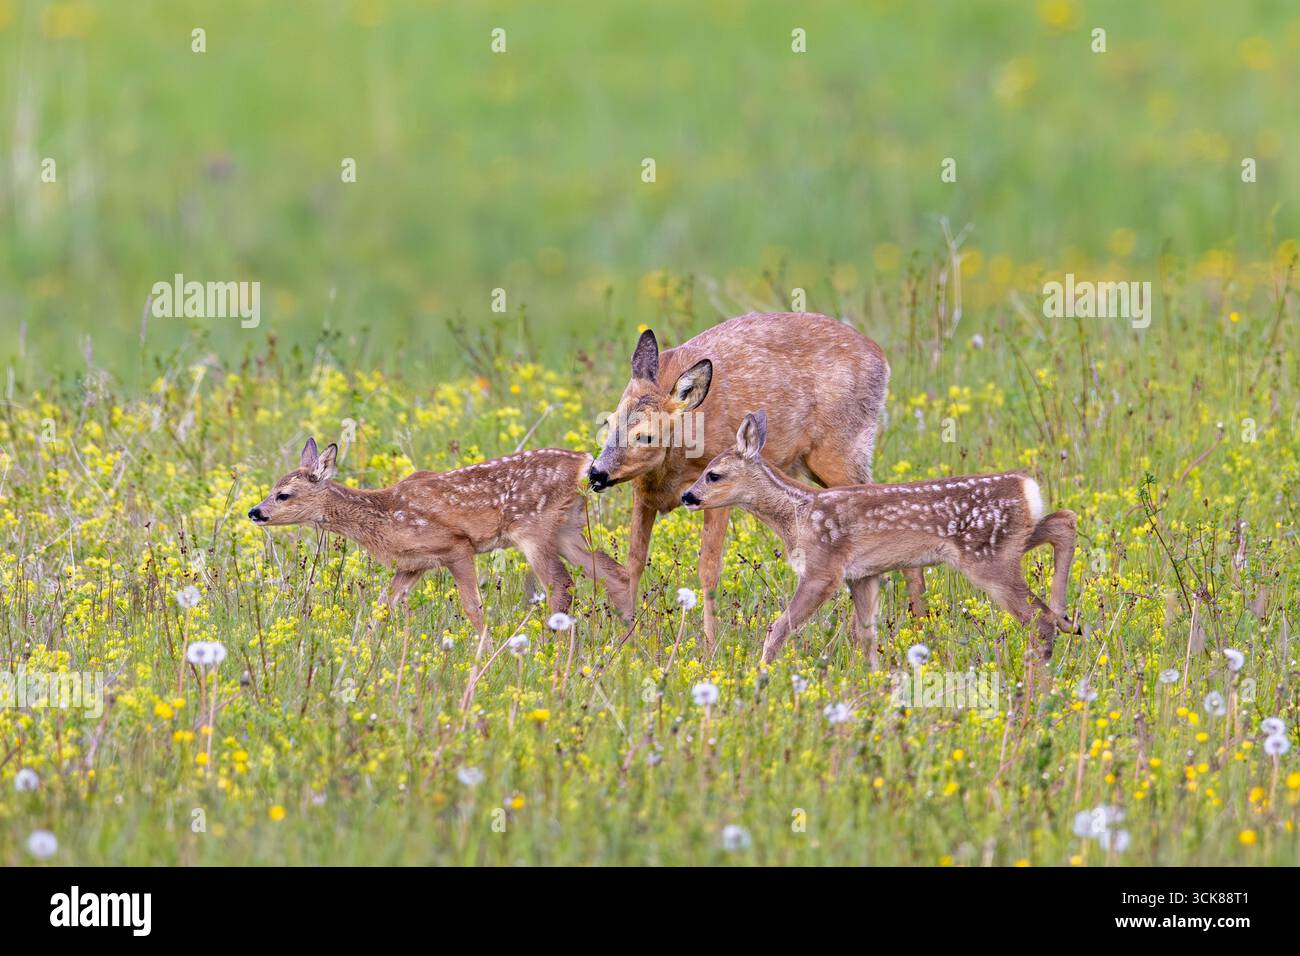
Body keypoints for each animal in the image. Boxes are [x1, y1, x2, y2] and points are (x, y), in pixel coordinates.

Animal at [248, 438, 633, 645]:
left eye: (283, 495)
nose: (254, 511)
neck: (384, 517)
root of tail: (585, 462)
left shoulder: (456, 546)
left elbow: (473, 607)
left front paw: (486, 650)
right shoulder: (412, 565)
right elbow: (381, 607)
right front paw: (361, 650)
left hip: (534, 529)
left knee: (562, 584)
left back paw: (550, 649)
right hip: (567, 527)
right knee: (614, 574)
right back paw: (630, 639)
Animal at [587, 312, 927, 650]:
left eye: (645, 435)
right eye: (610, 422)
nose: (596, 473)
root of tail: (881, 358)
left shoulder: (717, 489)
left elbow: (709, 567)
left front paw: (710, 646)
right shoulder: (643, 493)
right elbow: (633, 562)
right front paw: (624, 639)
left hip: (841, 452)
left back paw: (914, 626)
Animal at [681, 411, 1079, 669]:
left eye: (713, 475)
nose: (687, 496)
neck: (798, 514)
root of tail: (1027, 487)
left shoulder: (824, 568)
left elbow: (779, 628)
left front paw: (760, 674)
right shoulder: (863, 574)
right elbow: (866, 635)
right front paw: (874, 681)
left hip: (987, 556)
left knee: (1037, 620)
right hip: (1009, 541)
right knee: (1064, 520)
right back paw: (1066, 617)